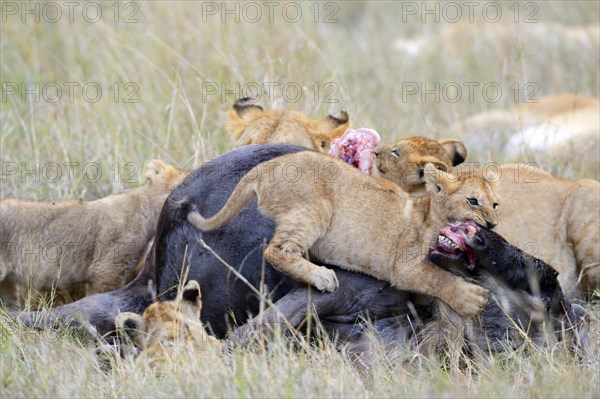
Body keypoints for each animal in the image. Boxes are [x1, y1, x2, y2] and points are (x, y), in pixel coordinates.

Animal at [186, 153, 496, 318]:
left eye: (495, 204)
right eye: (473, 201)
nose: (492, 225)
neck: (430, 214)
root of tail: (265, 167)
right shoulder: (404, 266)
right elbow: (438, 277)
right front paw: (471, 298)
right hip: (314, 207)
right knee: (276, 250)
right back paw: (321, 276)